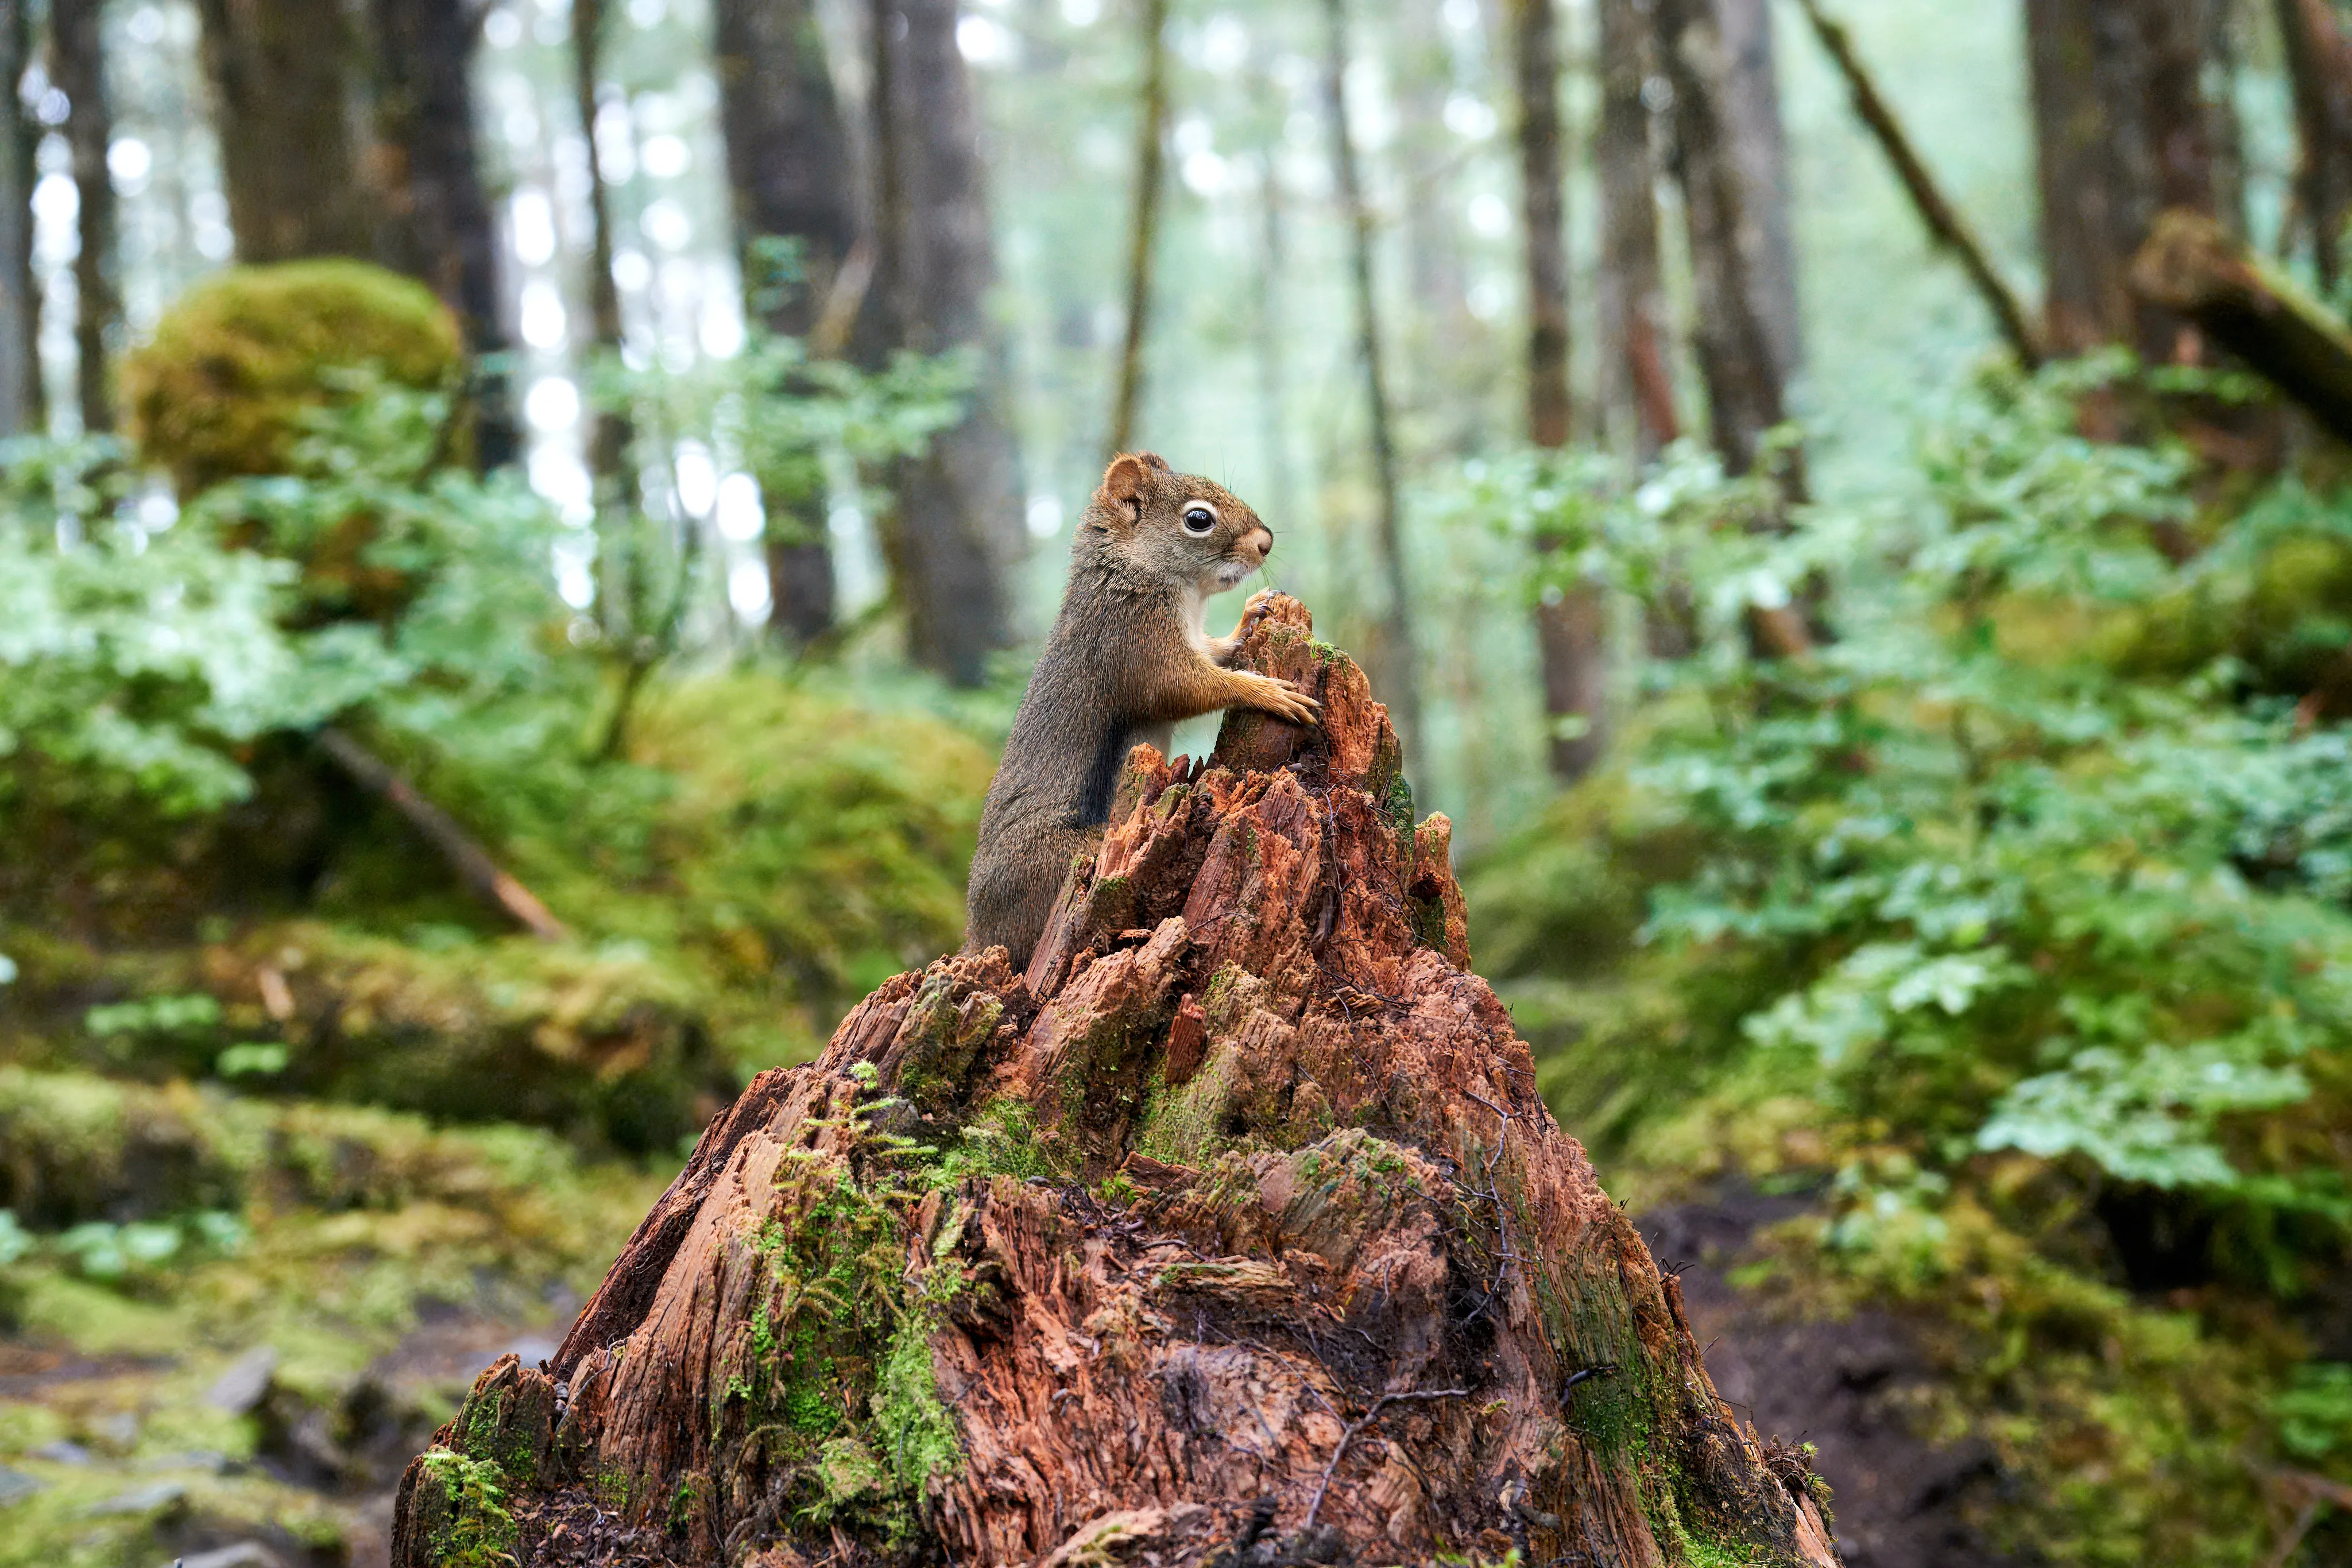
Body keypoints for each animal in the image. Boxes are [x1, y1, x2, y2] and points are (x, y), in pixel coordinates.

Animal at [965, 452, 1320, 967]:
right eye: (1198, 519)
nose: (1266, 542)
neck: (1134, 570)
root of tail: (982, 934)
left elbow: (1215, 651)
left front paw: (1251, 614)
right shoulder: (1136, 640)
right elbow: (1189, 689)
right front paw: (1268, 691)